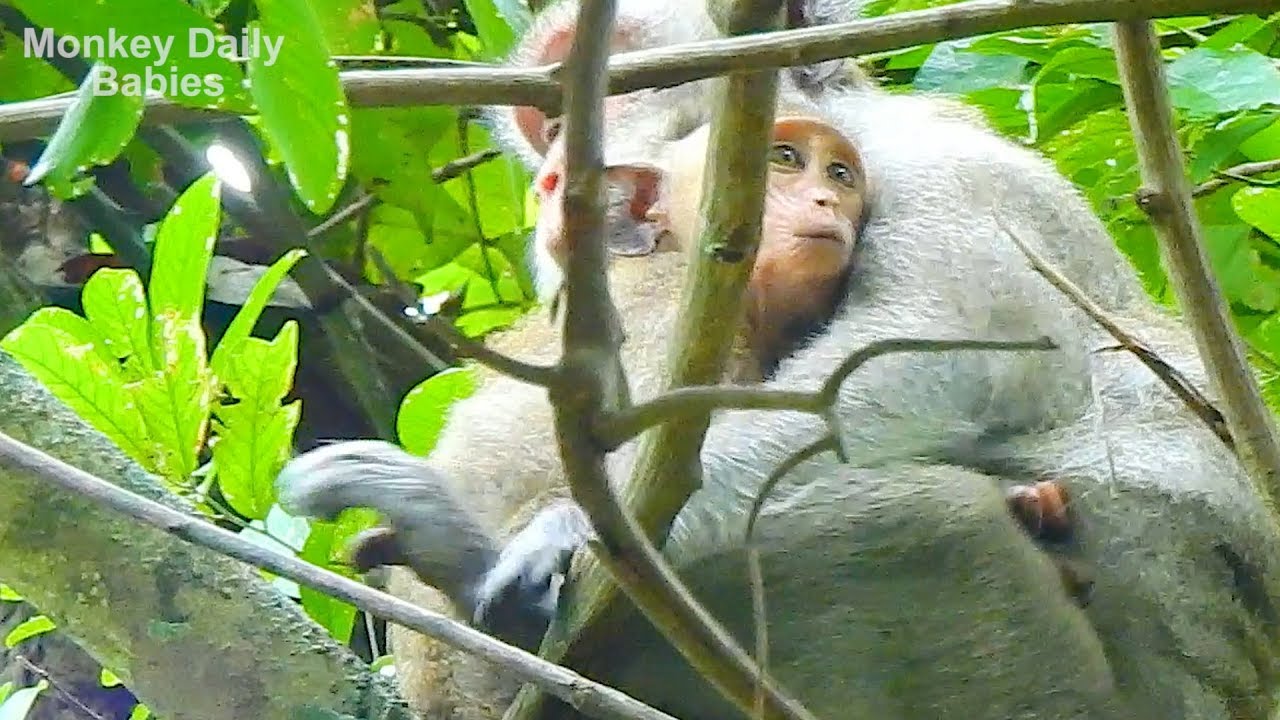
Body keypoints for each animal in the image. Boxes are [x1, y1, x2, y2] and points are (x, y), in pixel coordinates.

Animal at [285, 1, 1280, 717]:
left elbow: (947, 359)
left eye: (606, 85)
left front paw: (542, 534)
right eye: (545, 112)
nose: (560, 165)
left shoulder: (927, 173)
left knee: (923, 523)